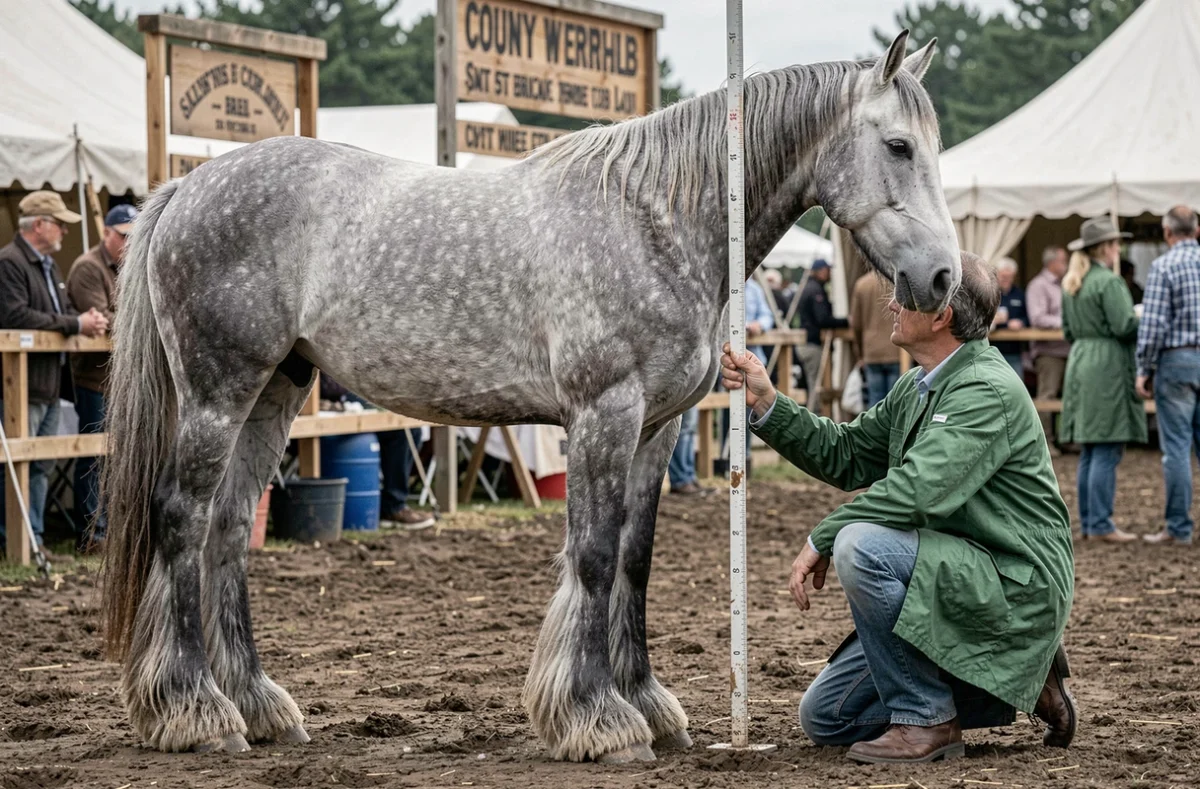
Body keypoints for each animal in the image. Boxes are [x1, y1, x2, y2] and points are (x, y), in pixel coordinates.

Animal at [100, 31, 958, 763]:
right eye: (898, 145)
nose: (944, 278)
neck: (657, 217)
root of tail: (185, 186)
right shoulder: (603, 413)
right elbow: (593, 553)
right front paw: (596, 718)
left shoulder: (656, 427)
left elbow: (635, 560)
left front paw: (646, 702)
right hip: (218, 390)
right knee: (181, 518)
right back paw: (195, 709)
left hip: (273, 390)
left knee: (225, 530)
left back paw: (256, 705)